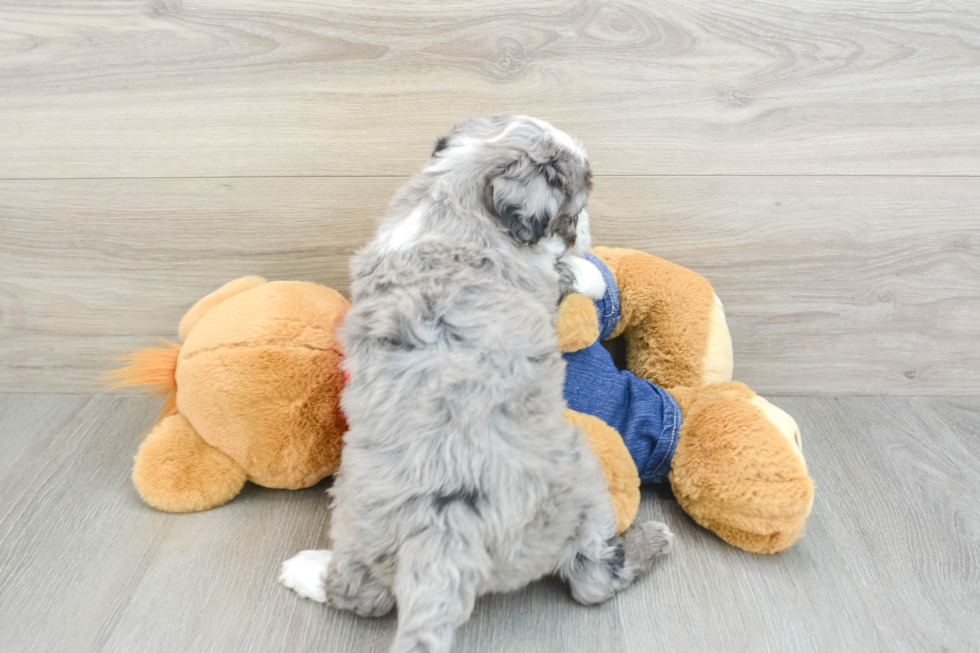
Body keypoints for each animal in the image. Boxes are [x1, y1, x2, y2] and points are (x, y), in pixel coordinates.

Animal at [280, 117, 668, 652]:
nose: (588, 229)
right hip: (584, 483)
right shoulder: (539, 278)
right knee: (592, 579)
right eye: (574, 211)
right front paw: (588, 269)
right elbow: (565, 273)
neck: (456, 194)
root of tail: (446, 531)